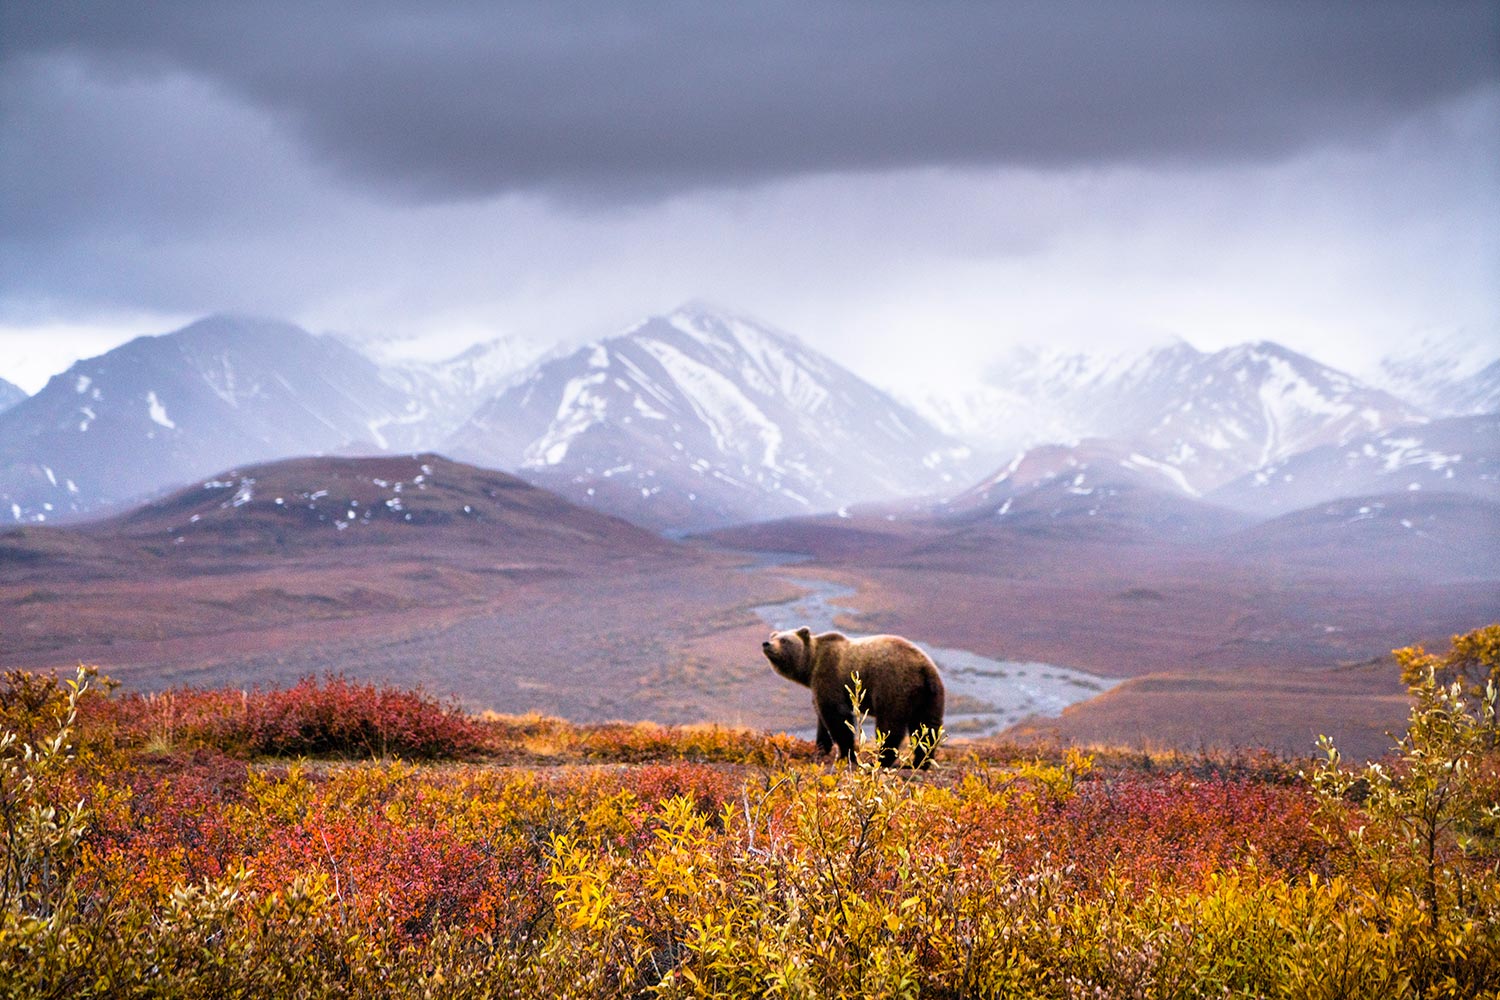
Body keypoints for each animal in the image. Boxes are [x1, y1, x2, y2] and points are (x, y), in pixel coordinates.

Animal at [768, 629, 942, 773]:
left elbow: (836, 716)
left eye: (784, 640)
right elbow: (822, 718)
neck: (811, 666)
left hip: (894, 686)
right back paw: (919, 762)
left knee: (889, 725)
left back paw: (880, 760)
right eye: (773, 636)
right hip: (929, 696)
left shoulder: (830, 675)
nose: (767, 644)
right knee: (927, 727)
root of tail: (924, 668)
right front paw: (820, 749)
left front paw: (845, 755)